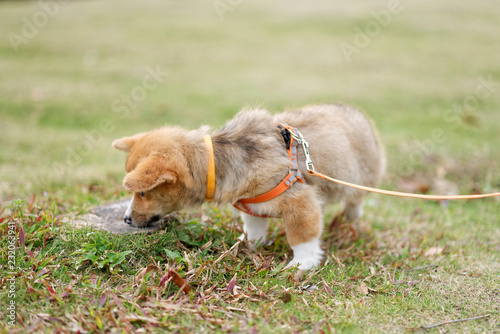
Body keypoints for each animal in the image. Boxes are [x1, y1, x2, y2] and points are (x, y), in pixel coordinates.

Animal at [114, 103, 386, 268]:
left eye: (141, 192)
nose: (126, 220)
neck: (218, 160)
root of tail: (357, 113)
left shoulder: (300, 203)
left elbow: (302, 239)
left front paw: (301, 265)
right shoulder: (252, 205)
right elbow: (254, 230)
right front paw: (249, 246)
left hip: (359, 179)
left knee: (355, 201)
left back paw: (350, 217)